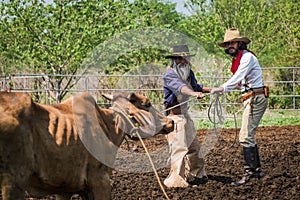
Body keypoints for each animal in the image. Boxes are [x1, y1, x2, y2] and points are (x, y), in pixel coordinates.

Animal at [0, 91, 173, 199]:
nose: (170, 122)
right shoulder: (100, 181)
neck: (108, 124)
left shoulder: (65, 190)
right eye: (147, 103)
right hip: (13, 183)